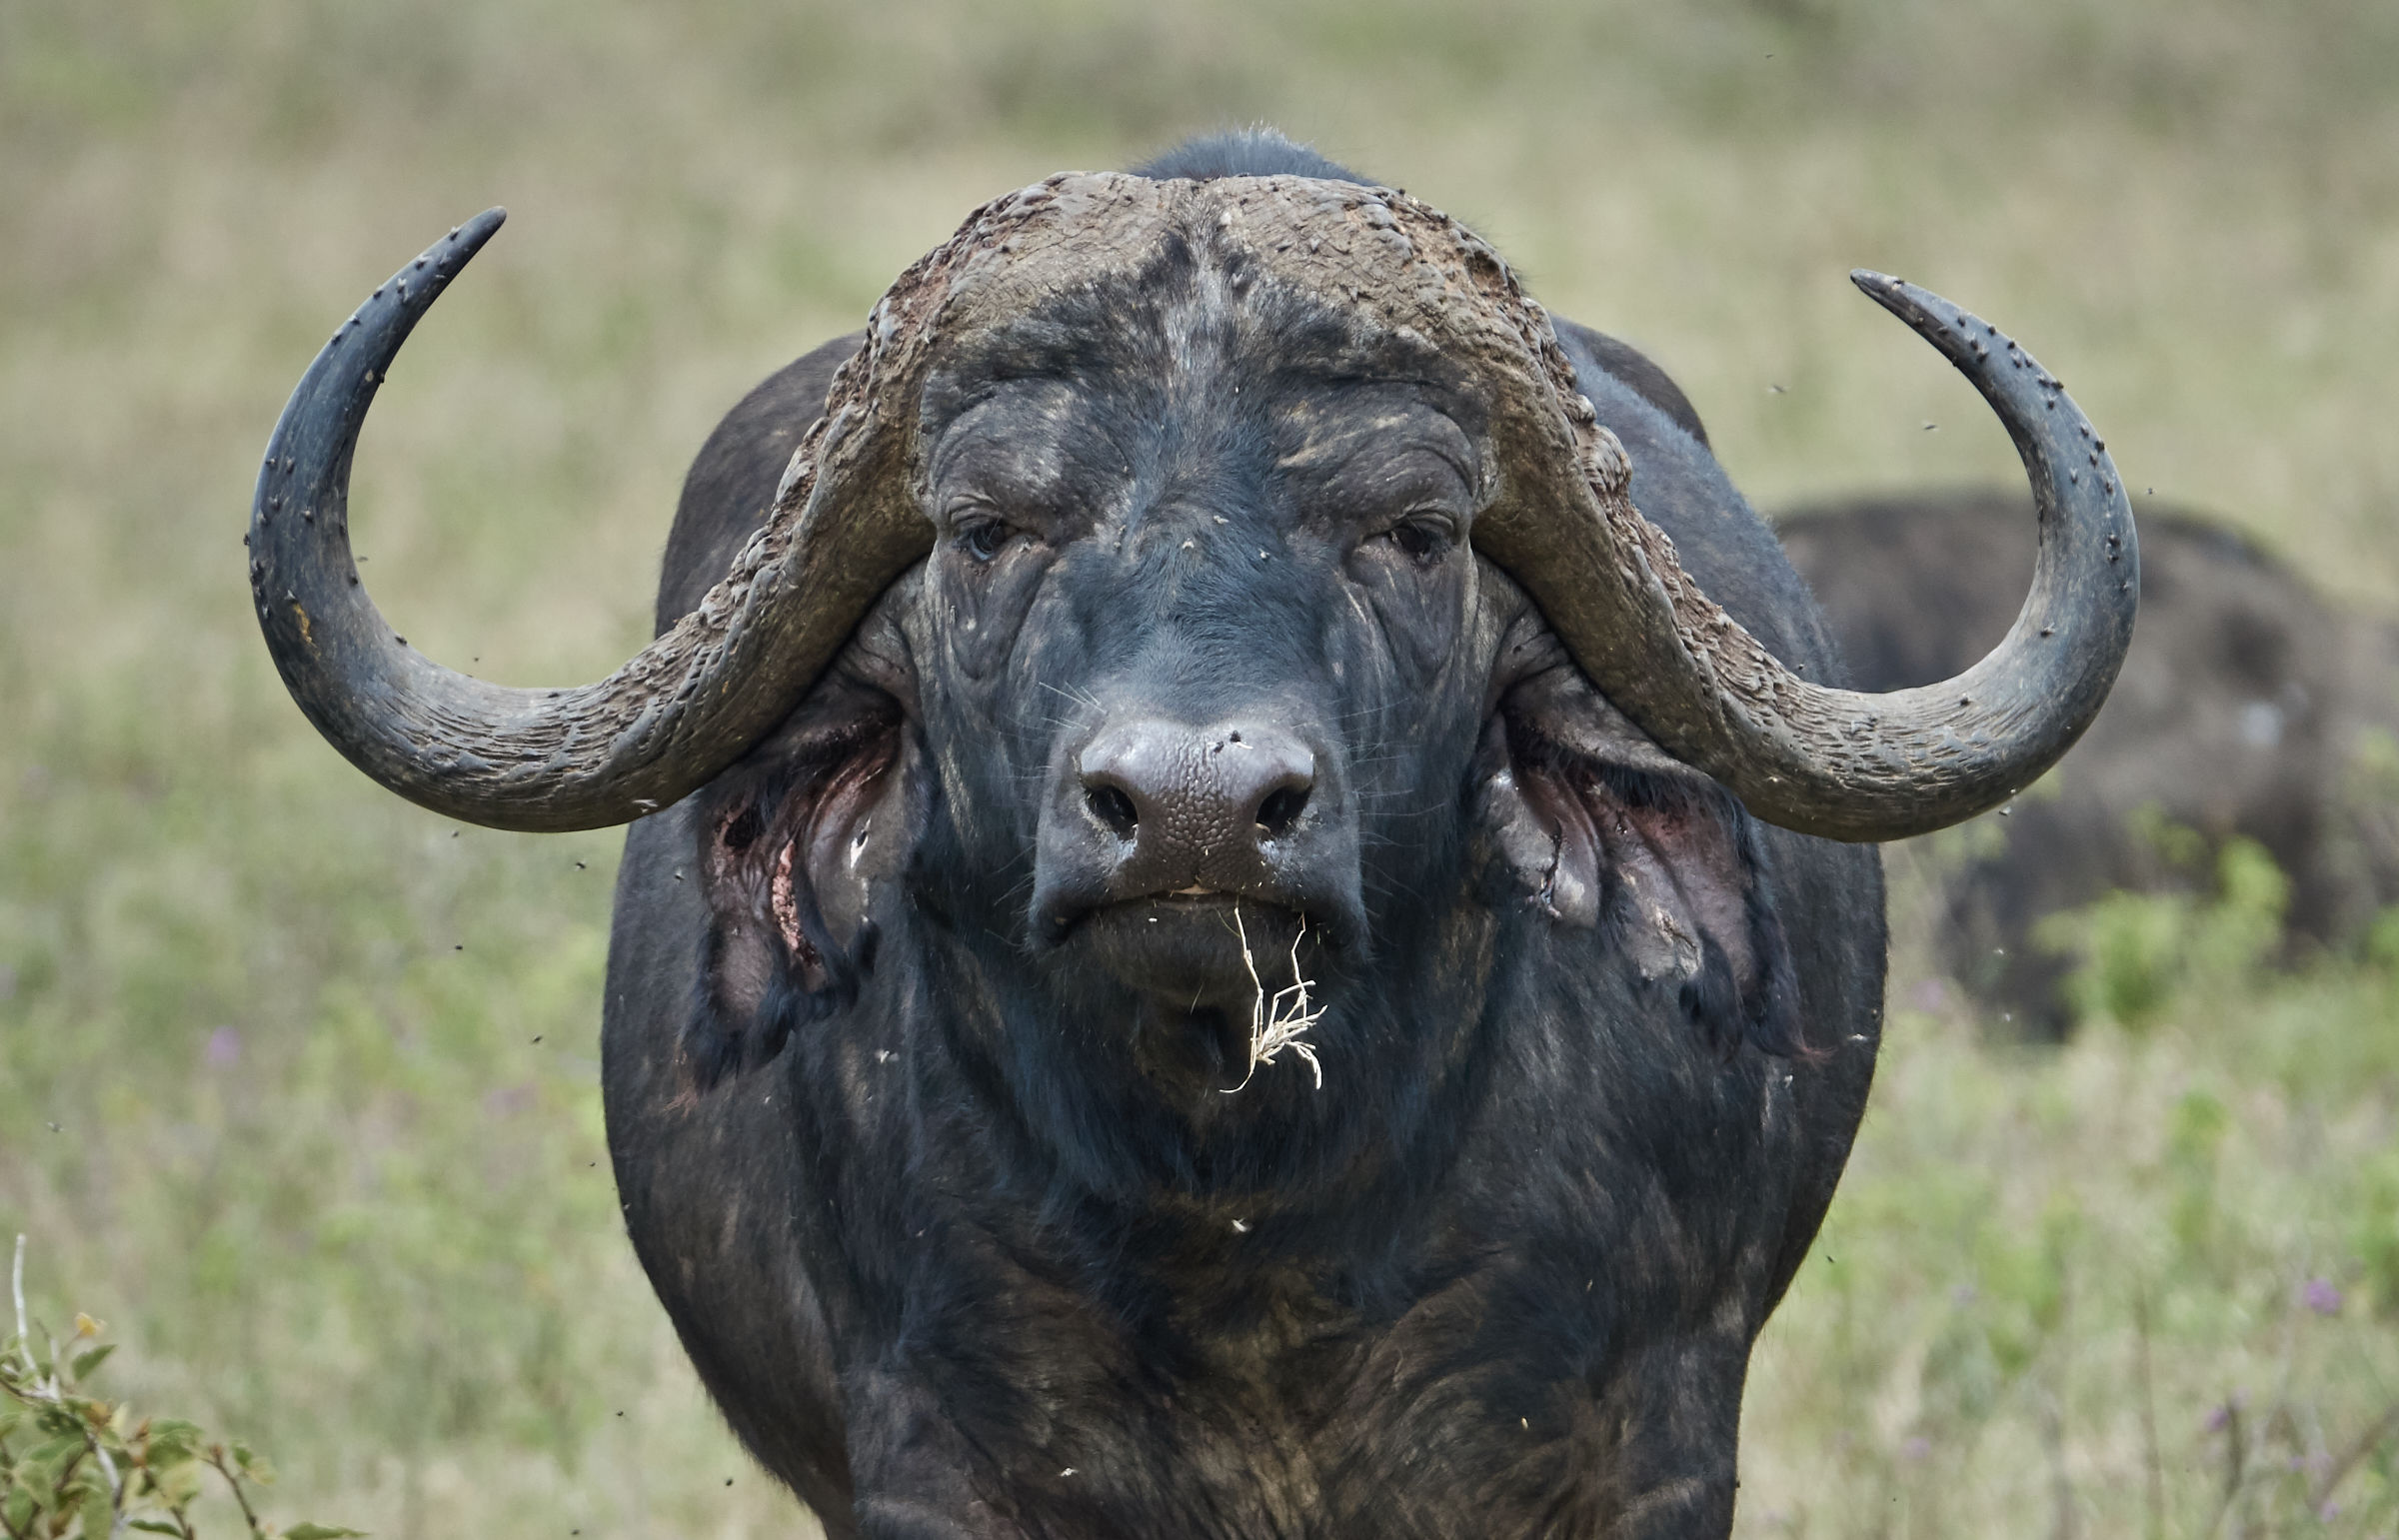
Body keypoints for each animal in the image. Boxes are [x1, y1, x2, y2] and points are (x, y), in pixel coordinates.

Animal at [247, 134, 2136, 1538]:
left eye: (1416, 529)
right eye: (989, 527)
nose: (1197, 810)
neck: (1246, 1221)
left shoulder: (1648, 1450)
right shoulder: (938, 1464)